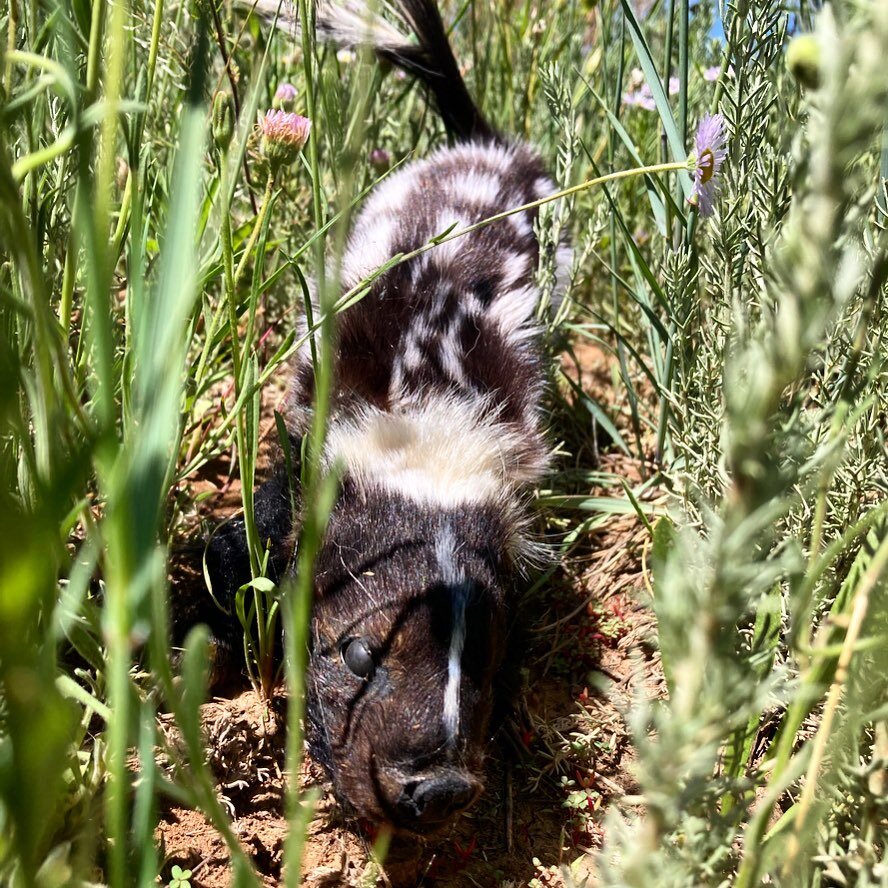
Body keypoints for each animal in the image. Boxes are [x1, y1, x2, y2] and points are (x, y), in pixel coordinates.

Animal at [197, 0, 568, 832]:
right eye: (358, 653)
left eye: (486, 667)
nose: (439, 786)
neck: (421, 405)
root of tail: (485, 146)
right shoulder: (308, 449)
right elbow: (246, 546)